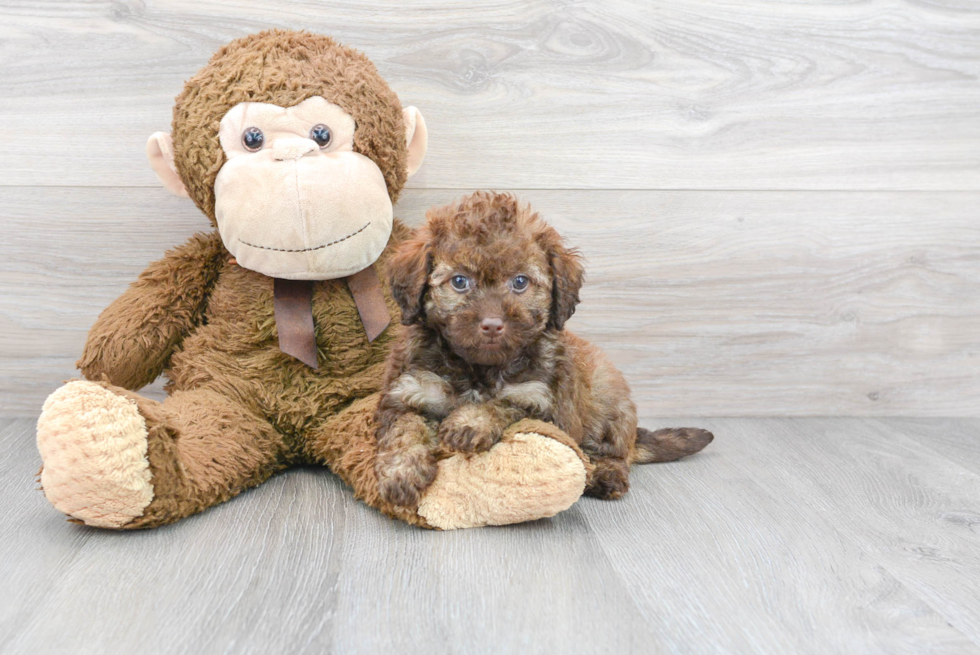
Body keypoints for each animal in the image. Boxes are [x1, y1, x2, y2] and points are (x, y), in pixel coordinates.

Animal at [376, 192, 712, 510]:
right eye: (459, 281)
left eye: (520, 282)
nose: (492, 325)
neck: (478, 369)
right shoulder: (407, 390)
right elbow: (404, 427)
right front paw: (401, 471)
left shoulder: (541, 401)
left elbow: (504, 403)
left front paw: (469, 422)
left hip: (611, 402)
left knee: (616, 453)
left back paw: (606, 475)